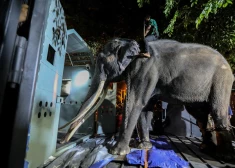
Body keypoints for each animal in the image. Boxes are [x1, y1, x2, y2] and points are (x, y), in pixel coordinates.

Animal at [59, 37, 235, 160]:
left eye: (102, 60)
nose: (61, 142)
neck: (131, 42)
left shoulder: (144, 68)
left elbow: (135, 102)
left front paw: (116, 151)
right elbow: (145, 107)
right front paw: (143, 146)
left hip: (221, 79)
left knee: (217, 111)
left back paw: (224, 155)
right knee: (199, 114)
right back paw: (206, 148)